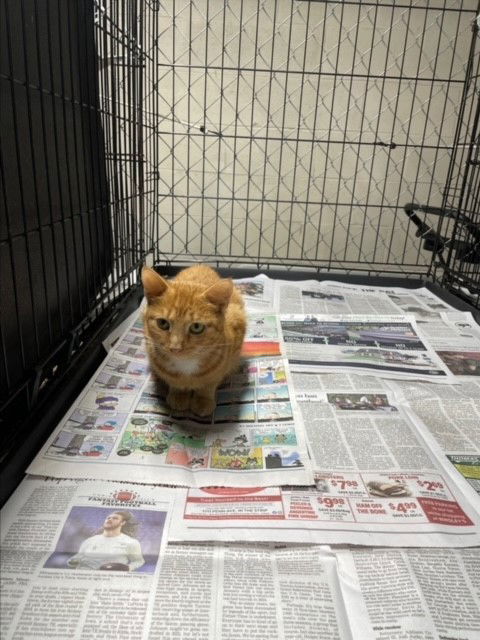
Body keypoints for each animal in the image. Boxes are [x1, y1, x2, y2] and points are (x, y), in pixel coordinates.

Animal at [141, 264, 246, 418]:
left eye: (196, 327)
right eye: (163, 323)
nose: (175, 348)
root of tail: (201, 265)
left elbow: (209, 384)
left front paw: (203, 399)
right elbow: (174, 382)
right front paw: (179, 394)